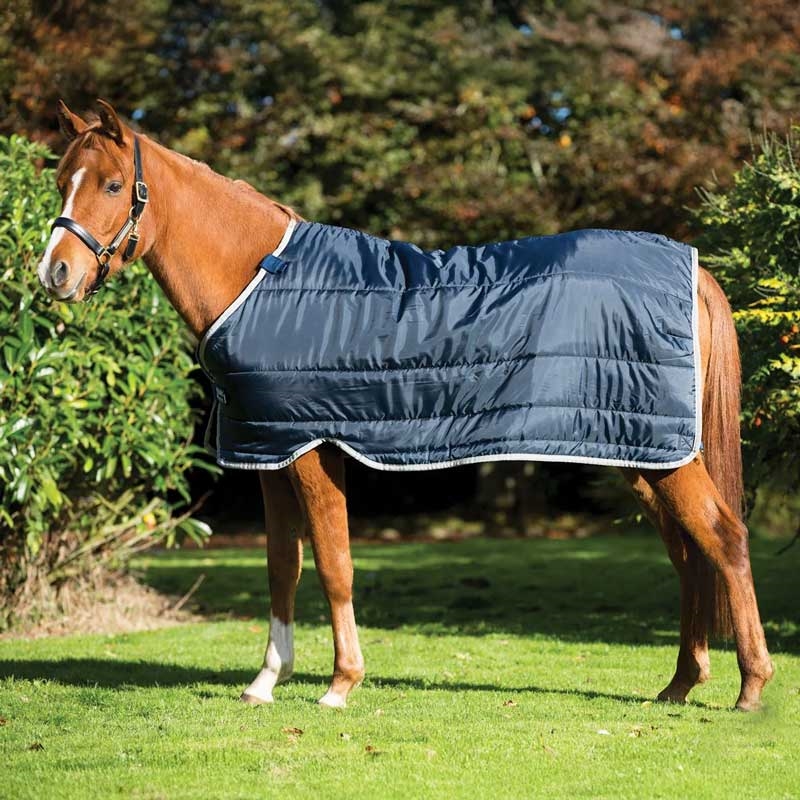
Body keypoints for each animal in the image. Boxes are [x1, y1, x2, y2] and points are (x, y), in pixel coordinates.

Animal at [38, 100, 773, 711]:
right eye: (61, 181)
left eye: (111, 185)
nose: (55, 274)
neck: (260, 279)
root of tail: (692, 271)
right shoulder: (269, 451)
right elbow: (282, 568)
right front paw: (266, 681)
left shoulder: (312, 449)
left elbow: (334, 564)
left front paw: (341, 684)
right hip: (638, 451)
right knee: (690, 553)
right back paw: (680, 685)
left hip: (661, 456)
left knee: (726, 540)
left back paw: (749, 688)